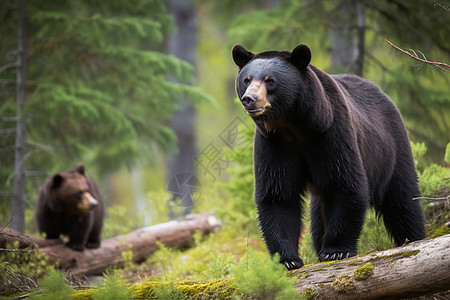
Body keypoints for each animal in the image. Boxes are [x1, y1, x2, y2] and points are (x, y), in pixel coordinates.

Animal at [232, 42, 426, 270]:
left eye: (270, 80)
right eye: (247, 79)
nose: (249, 99)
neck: (293, 125)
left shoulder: (330, 134)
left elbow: (345, 185)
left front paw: (336, 250)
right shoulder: (274, 144)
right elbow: (278, 195)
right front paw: (287, 259)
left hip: (392, 150)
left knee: (403, 200)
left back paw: (413, 237)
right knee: (318, 217)